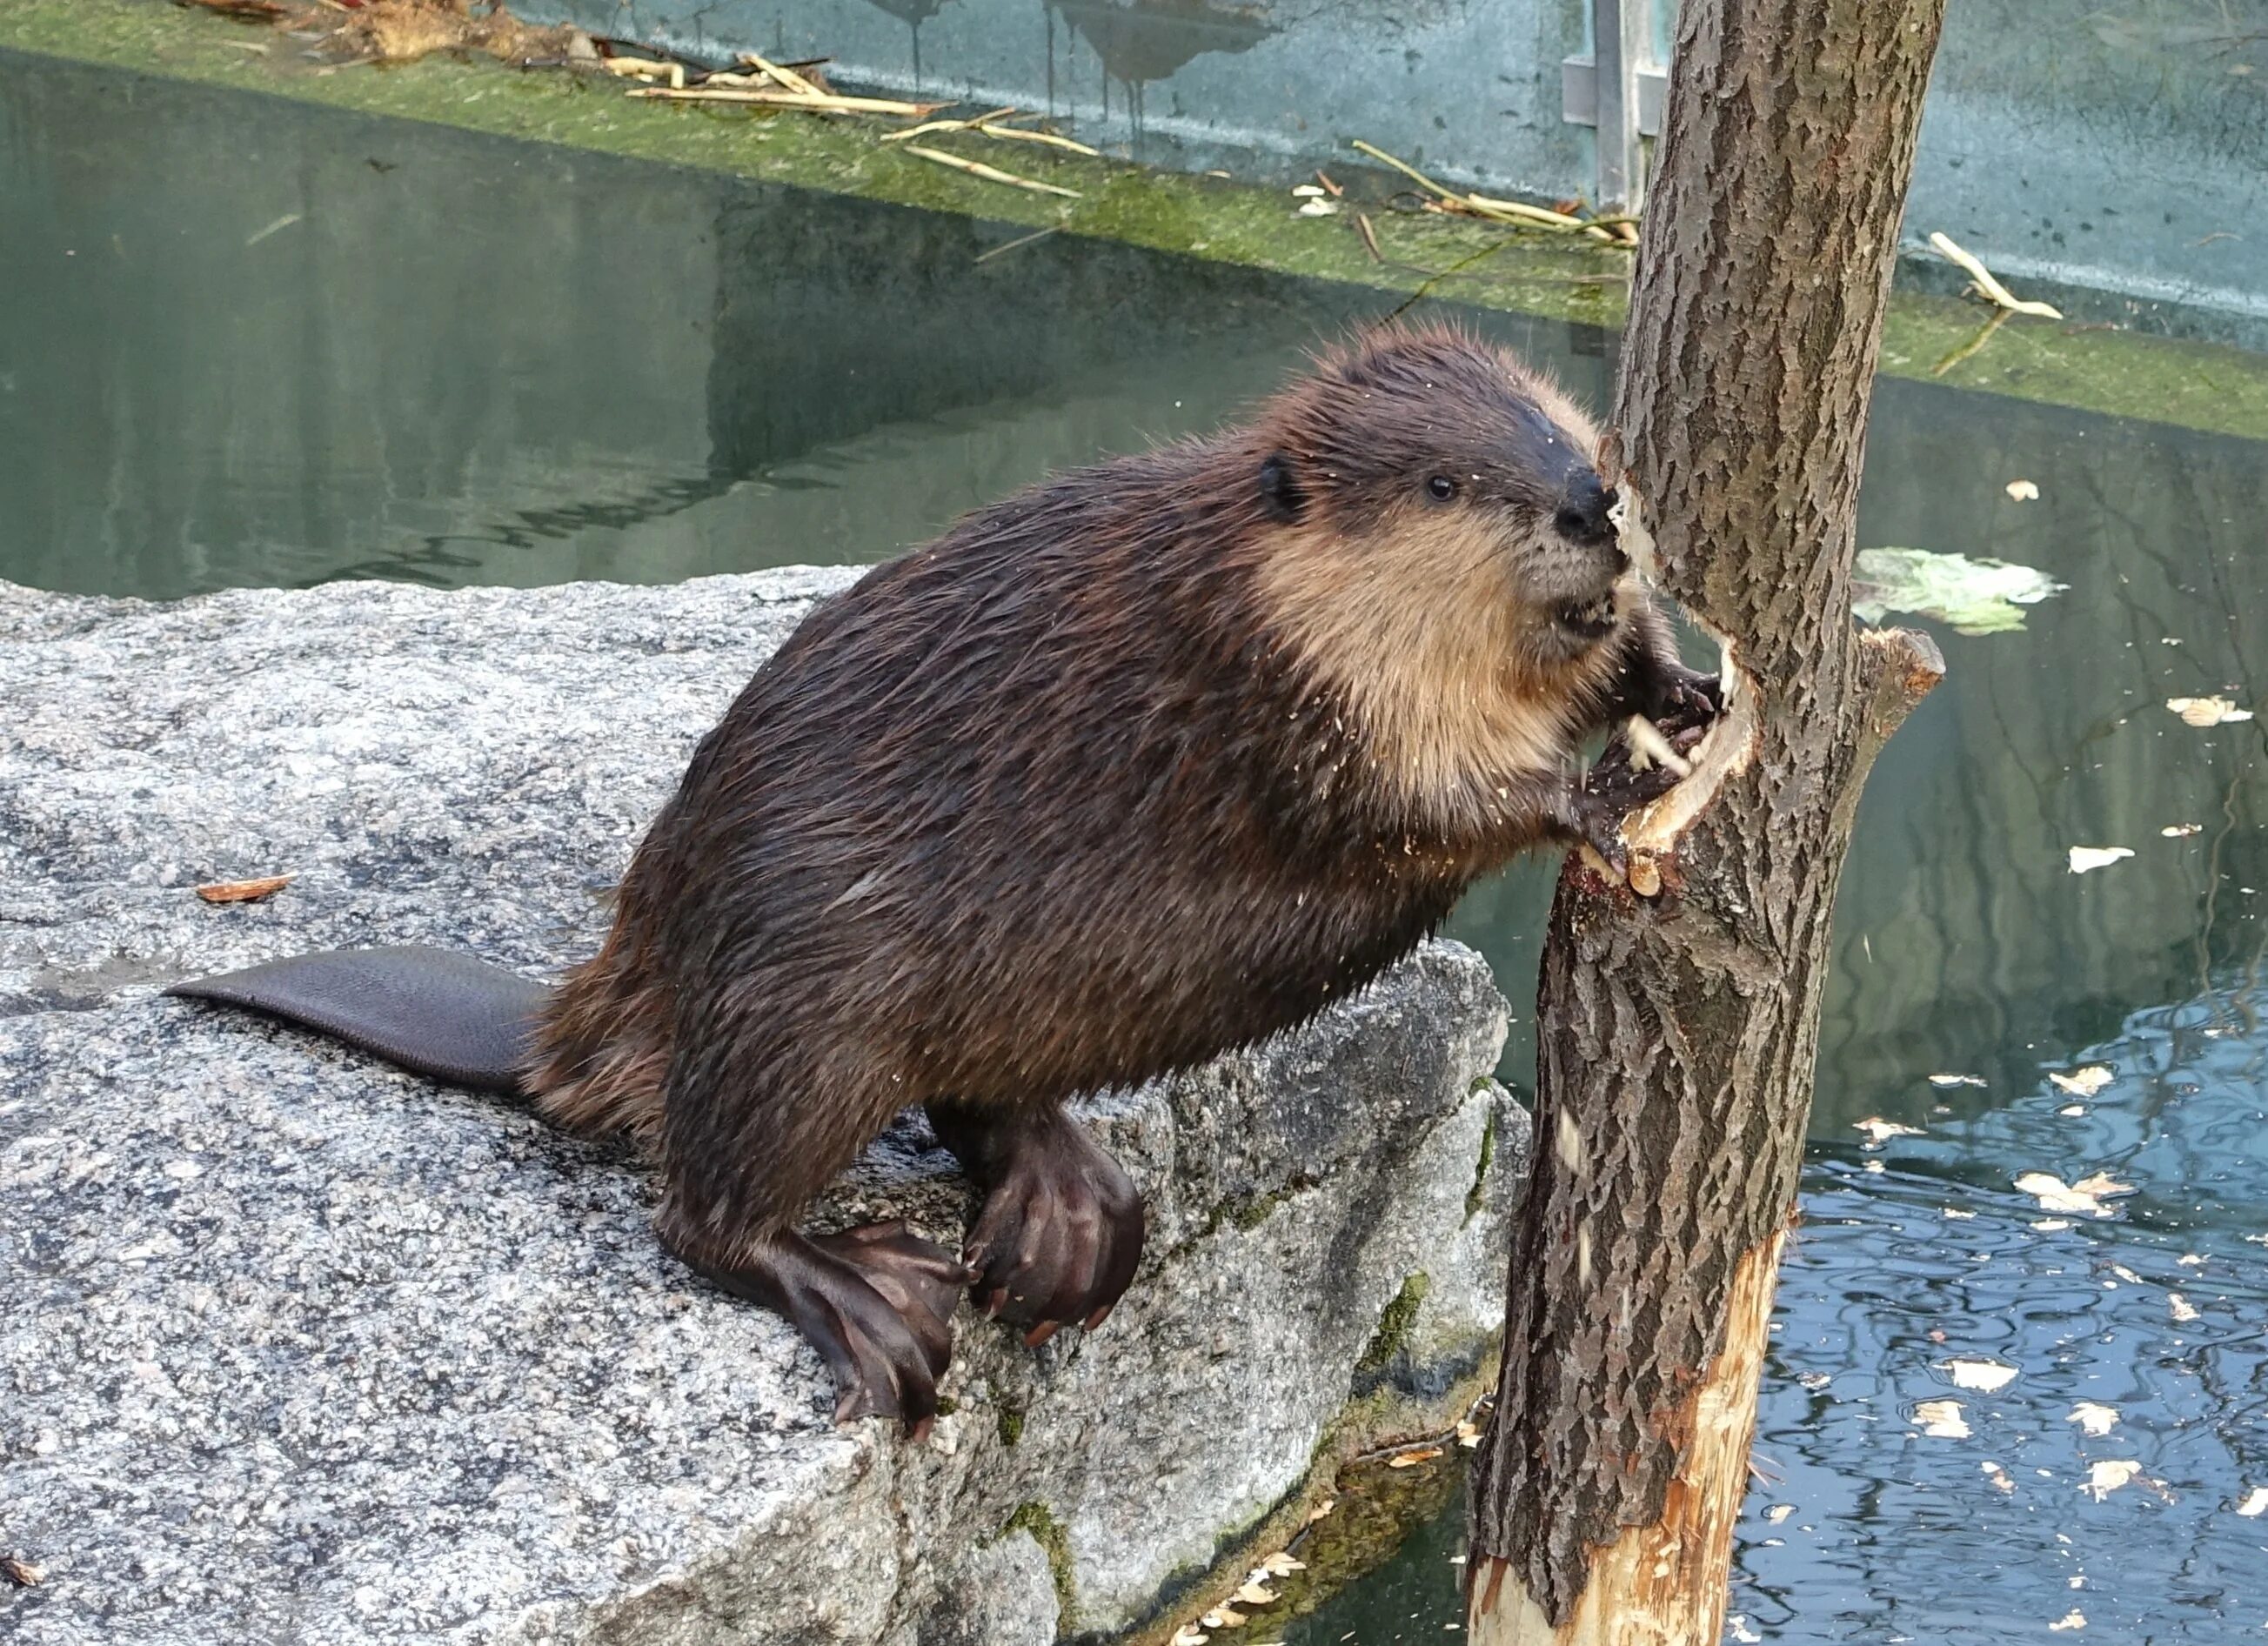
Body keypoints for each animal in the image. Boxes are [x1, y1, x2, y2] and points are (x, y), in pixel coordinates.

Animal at [167, 322, 1705, 1433]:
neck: (1256, 577)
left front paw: (1677, 686)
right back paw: (875, 1297)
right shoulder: (1275, 685)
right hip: (803, 1021)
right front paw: (1588, 791)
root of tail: (570, 1030)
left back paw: (1067, 1227)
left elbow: (1600, 672)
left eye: (1562, 424)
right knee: (700, 1211)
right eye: (1443, 483)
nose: (1590, 501)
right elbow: (1407, 801)